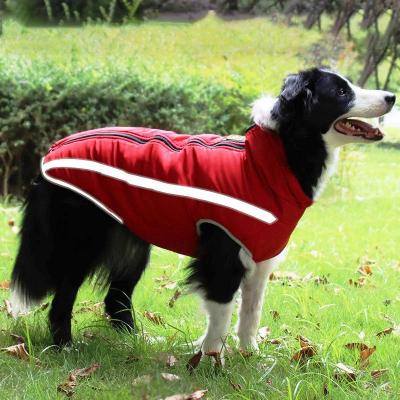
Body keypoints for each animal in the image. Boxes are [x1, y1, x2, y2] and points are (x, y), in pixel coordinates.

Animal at [7, 66, 396, 356]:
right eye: (342, 92)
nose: (392, 96)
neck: (274, 157)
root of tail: (51, 152)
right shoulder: (224, 256)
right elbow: (222, 313)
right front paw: (211, 362)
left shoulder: (259, 256)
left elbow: (250, 313)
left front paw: (250, 356)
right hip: (81, 243)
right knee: (63, 298)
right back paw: (65, 348)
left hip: (132, 241)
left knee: (116, 299)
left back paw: (138, 341)